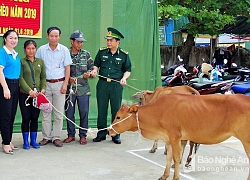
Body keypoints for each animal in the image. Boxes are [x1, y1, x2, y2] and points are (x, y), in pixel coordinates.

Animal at [109, 94, 250, 180]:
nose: (109, 130)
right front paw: (164, 176)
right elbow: (168, 158)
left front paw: (175, 177)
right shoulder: (168, 139)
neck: (159, 112)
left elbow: (176, 158)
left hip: (247, 141)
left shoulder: (175, 137)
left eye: (118, 117)